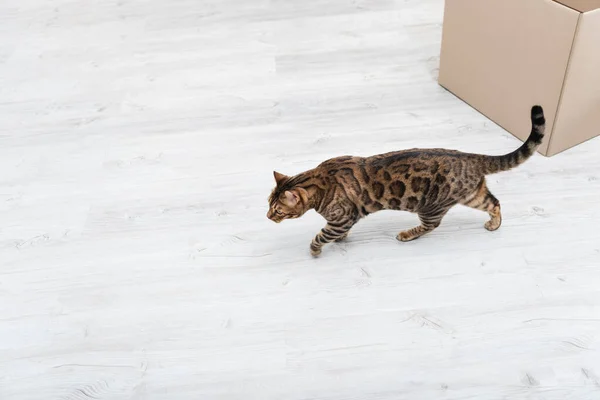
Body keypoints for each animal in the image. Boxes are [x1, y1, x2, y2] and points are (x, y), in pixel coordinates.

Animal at [268, 106, 544, 256]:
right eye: (268, 204)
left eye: (278, 210)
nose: (268, 218)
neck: (320, 180)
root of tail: (471, 157)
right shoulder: (344, 220)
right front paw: (340, 240)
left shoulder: (342, 218)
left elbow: (322, 235)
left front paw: (316, 249)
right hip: (472, 194)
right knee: (495, 203)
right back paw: (494, 224)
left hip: (430, 206)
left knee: (432, 225)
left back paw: (407, 234)